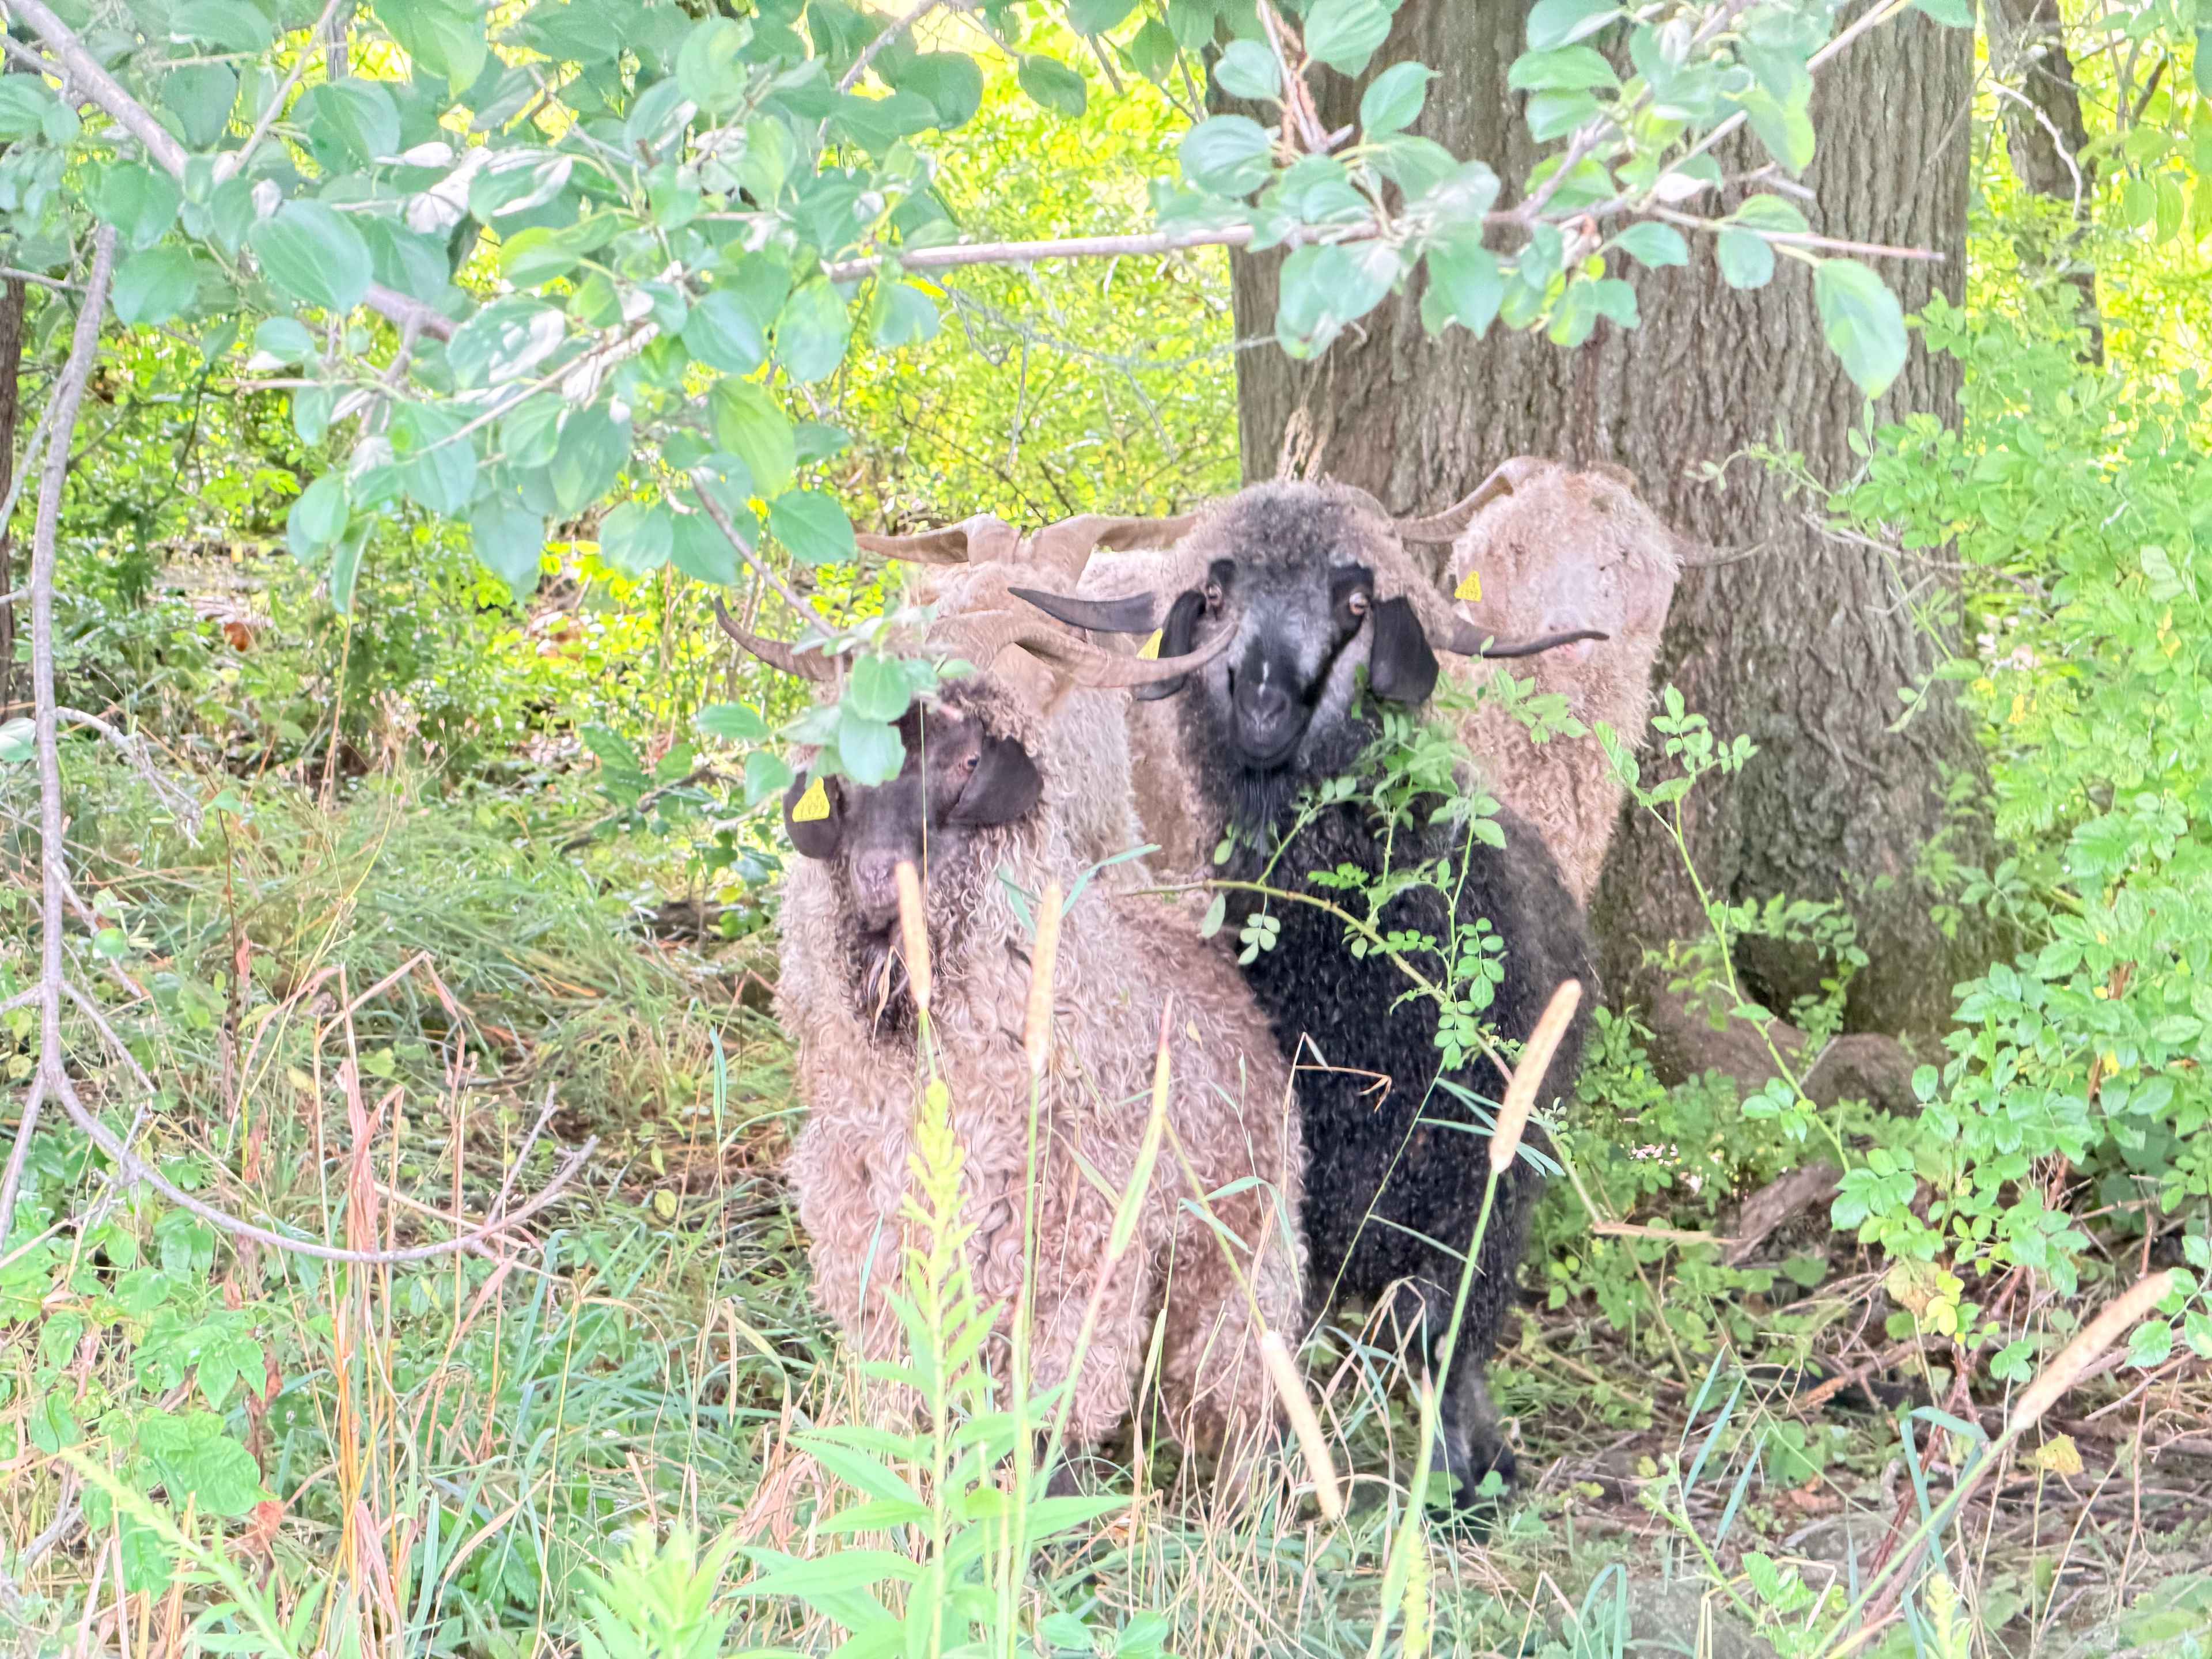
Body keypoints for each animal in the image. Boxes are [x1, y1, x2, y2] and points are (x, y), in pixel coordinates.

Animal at [720, 565, 1306, 1464]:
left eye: (966, 759)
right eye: (842, 768)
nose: (876, 879)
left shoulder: (1076, 1275)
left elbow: (1047, 1443)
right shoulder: (876, 1260)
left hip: (1242, 1272)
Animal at [1013, 481, 1600, 1503]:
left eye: (1355, 603)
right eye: (1214, 596)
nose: (1263, 704)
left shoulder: (1478, 1191)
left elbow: (1444, 1340)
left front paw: (1466, 1478)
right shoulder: (1298, 1195)